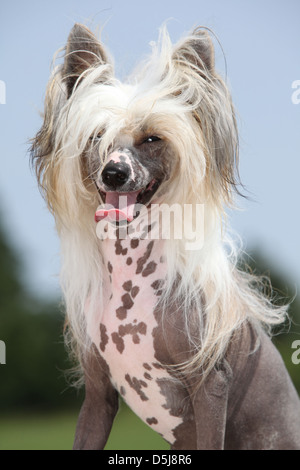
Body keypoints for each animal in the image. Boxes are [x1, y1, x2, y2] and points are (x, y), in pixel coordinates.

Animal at [30, 23, 300, 450]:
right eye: (96, 136)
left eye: (152, 139)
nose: (114, 173)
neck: (129, 275)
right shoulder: (97, 396)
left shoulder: (210, 386)